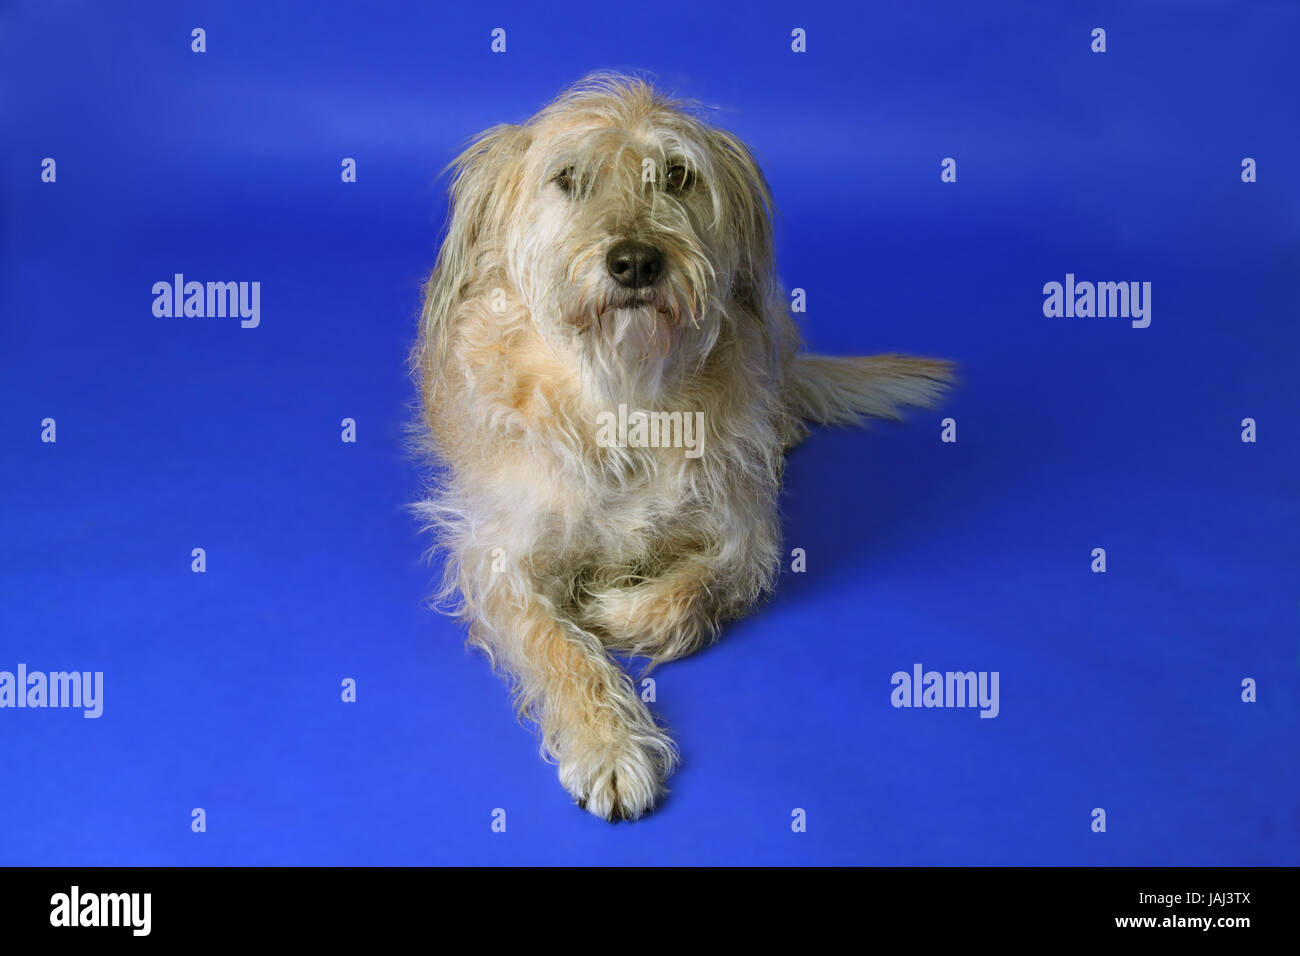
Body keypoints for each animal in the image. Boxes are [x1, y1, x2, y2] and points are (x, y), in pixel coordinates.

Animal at [410, 74, 951, 822]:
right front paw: (608, 743)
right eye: (568, 178)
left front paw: (613, 609)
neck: (624, 393)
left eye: (676, 175)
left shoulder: (746, 528)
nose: (636, 261)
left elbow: (702, 585)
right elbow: (554, 645)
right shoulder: (500, 556)